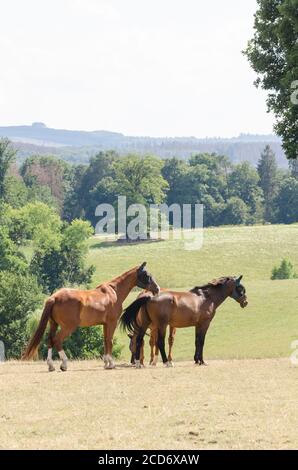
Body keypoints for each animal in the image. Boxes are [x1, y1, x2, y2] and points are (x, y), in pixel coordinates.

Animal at [22, 262, 161, 370]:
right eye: (147, 275)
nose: (157, 289)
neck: (113, 292)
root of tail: (54, 297)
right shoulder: (112, 323)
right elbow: (110, 341)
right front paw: (111, 364)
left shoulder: (105, 324)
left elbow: (105, 341)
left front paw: (106, 362)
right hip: (68, 327)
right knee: (57, 340)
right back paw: (64, 365)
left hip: (53, 324)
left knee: (50, 340)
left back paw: (51, 366)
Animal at [120, 276, 248, 370]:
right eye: (240, 287)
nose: (245, 302)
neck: (206, 297)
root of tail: (149, 297)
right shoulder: (204, 324)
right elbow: (201, 342)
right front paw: (202, 361)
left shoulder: (197, 325)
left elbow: (196, 341)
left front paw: (196, 360)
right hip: (161, 325)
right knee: (160, 342)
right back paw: (166, 362)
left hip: (145, 325)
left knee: (139, 340)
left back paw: (138, 363)